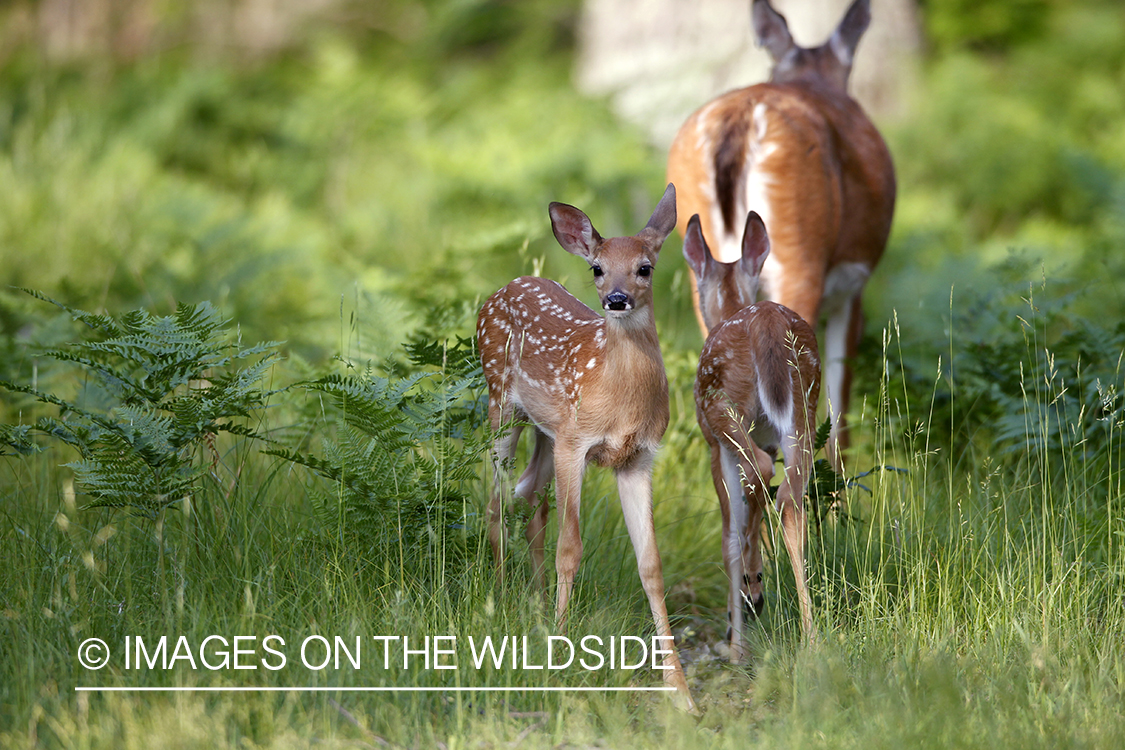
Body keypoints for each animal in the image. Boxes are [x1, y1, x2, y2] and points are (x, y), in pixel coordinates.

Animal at [474, 184, 693, 715]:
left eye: (644, 267)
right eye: (597, 267)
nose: (615, 299)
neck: (621, 400)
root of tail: (503, 288)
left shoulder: (637, 458)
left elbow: (651, 565)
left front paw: (680, 691)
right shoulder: (577, 443)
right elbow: (569, 548)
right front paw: (560, 651)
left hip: (546, 430)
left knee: (528, 494)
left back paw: (533, 601)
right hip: (501, 403)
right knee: (496, 499)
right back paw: (502, 596)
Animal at [684, 211, 819, 656]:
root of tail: (764, 320)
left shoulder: (713, 445)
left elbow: (729, 534)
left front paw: (736, 631)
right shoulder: (768, 438)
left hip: (723, 409)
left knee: (764, 476)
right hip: (804, 411)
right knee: (790, 497)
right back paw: (812, 635)